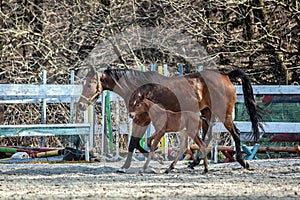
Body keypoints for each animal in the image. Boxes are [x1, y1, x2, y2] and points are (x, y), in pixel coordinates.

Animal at [78, 67, 264, 170]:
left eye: (90, 84)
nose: (80, 105)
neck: (138, 89)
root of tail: (225, 76)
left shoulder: (142, 119)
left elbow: (135, 142)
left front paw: (129, 165)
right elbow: (136, 143)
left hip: (224, 115)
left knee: (236, 133)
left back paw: (242, 161)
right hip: (206, 113)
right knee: (205, 137)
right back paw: (194, 163)